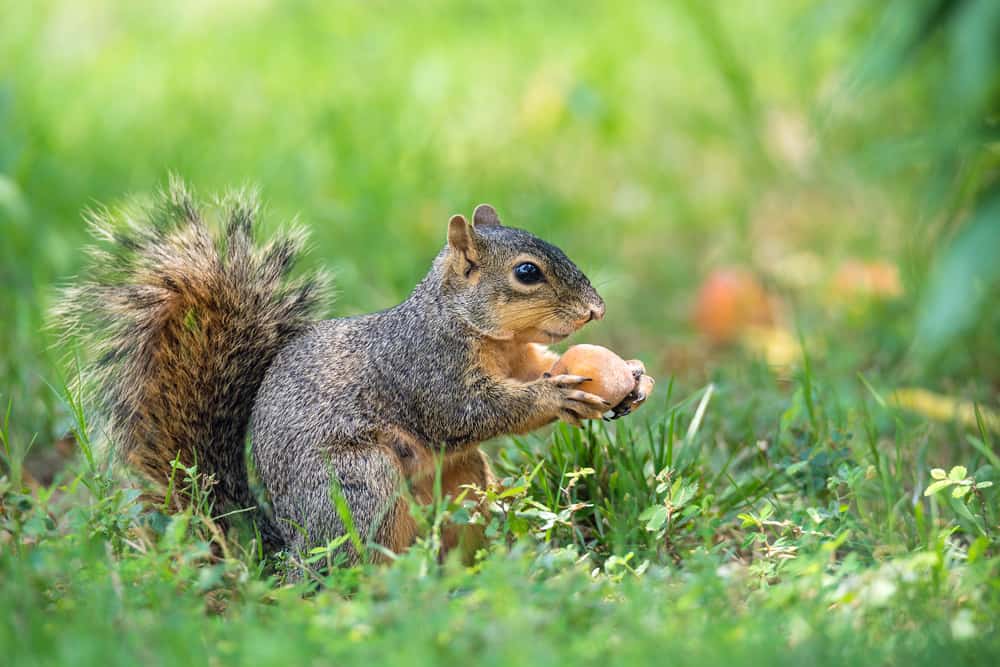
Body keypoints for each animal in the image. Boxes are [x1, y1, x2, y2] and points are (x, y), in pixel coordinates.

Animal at [62, 179, 656, 564]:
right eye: (527, 273)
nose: (596, 309)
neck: (484, 335)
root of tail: (284, 549)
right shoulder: (425, 368)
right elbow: (468, 413)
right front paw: (555, 399)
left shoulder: (522, 357)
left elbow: (541, 368)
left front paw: (634, 375)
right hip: (359, 485)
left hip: (464, 483)